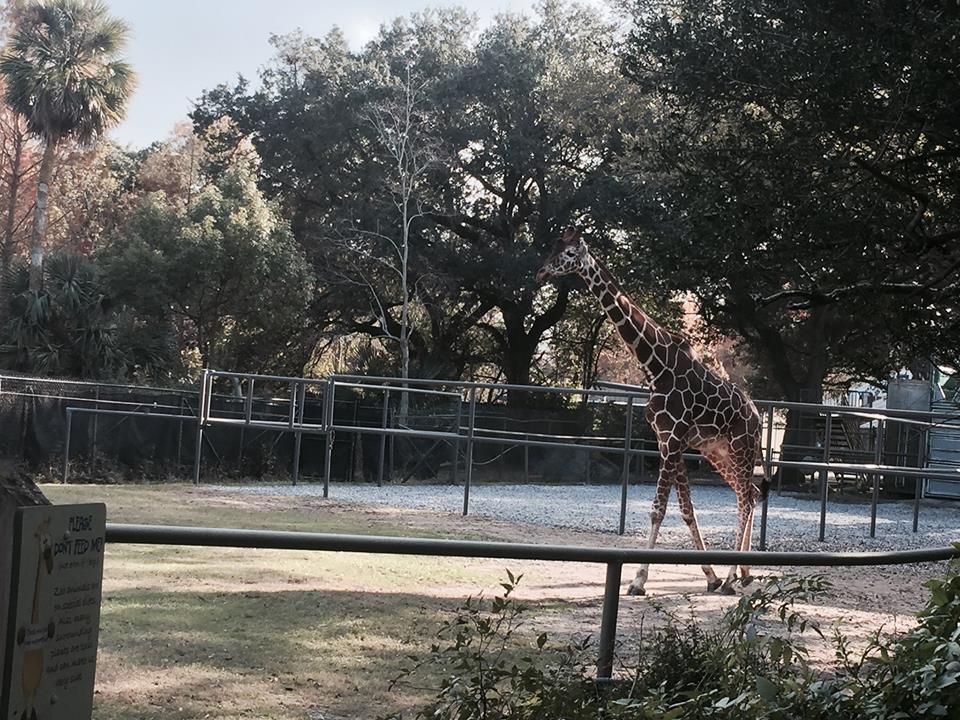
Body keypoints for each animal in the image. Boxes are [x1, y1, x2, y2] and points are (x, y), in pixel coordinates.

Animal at [536, 227, 767, 595]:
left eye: (569, 254)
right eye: (553, 248)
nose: (541, 272)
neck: (655, 366)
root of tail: (758, 415)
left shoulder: (672, 440)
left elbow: (658, 509)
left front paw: (638, 580)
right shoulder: (667, 440)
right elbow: (686, 510)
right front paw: (710, 576)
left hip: (741, 447)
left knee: (746, 498)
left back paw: (734, 578)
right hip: (717, 452)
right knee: (751, 494)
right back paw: (744, 573)